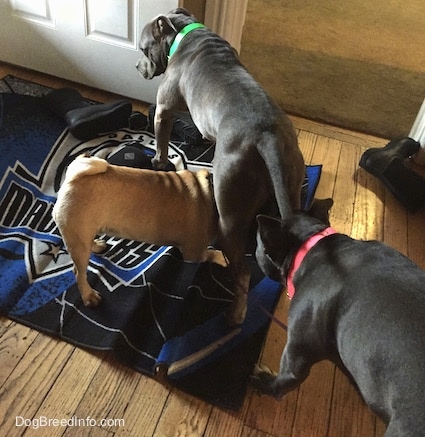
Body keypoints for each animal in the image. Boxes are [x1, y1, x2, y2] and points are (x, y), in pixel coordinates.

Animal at [52, 155, 225, 304]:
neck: (209, 194)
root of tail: (73, 178)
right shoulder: (193, 252)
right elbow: (207, 254)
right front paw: (220, 257)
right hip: (79, 244)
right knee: (79, 273)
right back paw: (88, 295)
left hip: (85, 234)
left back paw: (96, 245)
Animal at [134, 8, 304, 326]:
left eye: (143, 48)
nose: (137, 67)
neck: (184, 32)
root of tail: (267, 136)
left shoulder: (164, 110)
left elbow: (161, 139)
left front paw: (159, 162)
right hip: (291, 183)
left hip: (228, 213)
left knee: (243, 272)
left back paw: (235, 313)